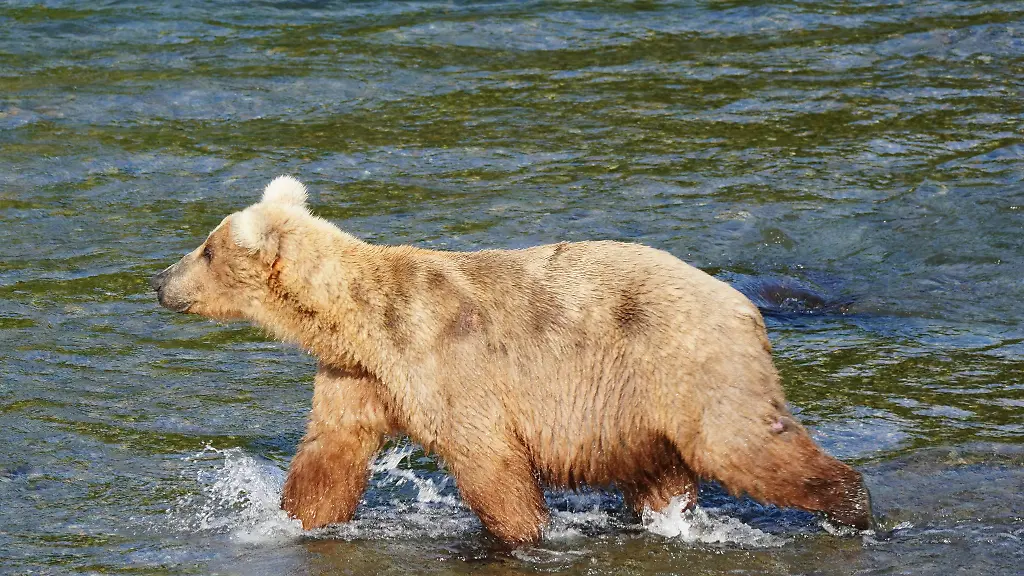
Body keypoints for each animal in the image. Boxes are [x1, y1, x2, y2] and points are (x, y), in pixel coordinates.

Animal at [150, 176, 872, 543]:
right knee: (661, 475)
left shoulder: (447, 362)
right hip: (638, 408)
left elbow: (488, 460)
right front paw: (287, 517)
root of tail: (745, 303)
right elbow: (330, 454)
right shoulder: (359, 376)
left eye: (206, 249)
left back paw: (852, 506)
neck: (357, 321)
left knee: (743, 443)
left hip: (689, 366)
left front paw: (525, 533)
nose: (159, 281)